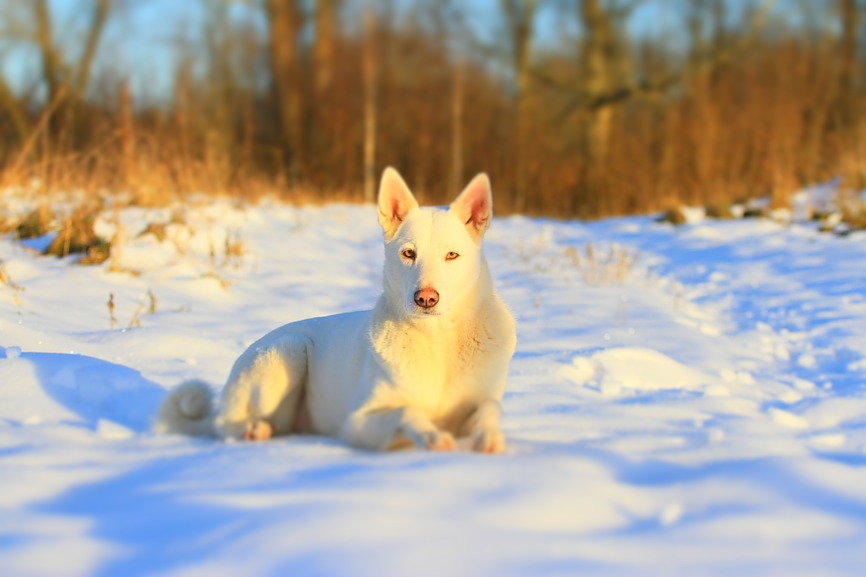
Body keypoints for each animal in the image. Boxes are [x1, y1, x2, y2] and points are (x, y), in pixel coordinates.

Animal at [155, 166, 512, 450]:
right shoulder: (358, 422)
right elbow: (408, 410)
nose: (425, 298)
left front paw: (490, 438)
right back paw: (252, 431)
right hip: (289, 349)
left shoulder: (481, 399)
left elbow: (490, 409)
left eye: (452, 255)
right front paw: (434, 436)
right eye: (409, 253)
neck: (437, 340)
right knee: (225, 427)